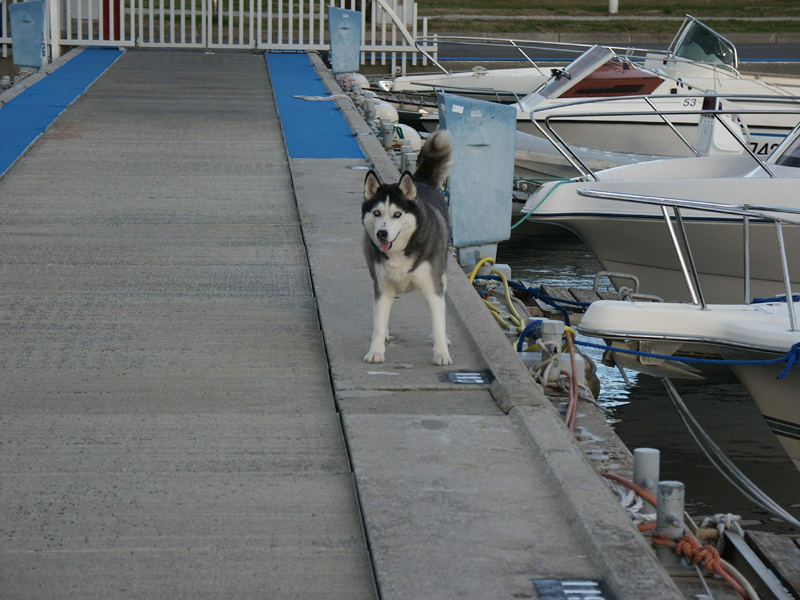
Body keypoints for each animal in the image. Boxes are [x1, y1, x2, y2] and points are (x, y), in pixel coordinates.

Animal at [360, 129, 454, 366]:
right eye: (377, 213)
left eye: (397, 214)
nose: (382, 234)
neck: (400, 251)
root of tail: (420, 182)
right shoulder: (382, 287)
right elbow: (378, 322)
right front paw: (376, 351)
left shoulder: (433, 288)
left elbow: (438, 324)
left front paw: (441, 353)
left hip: (442, 273)